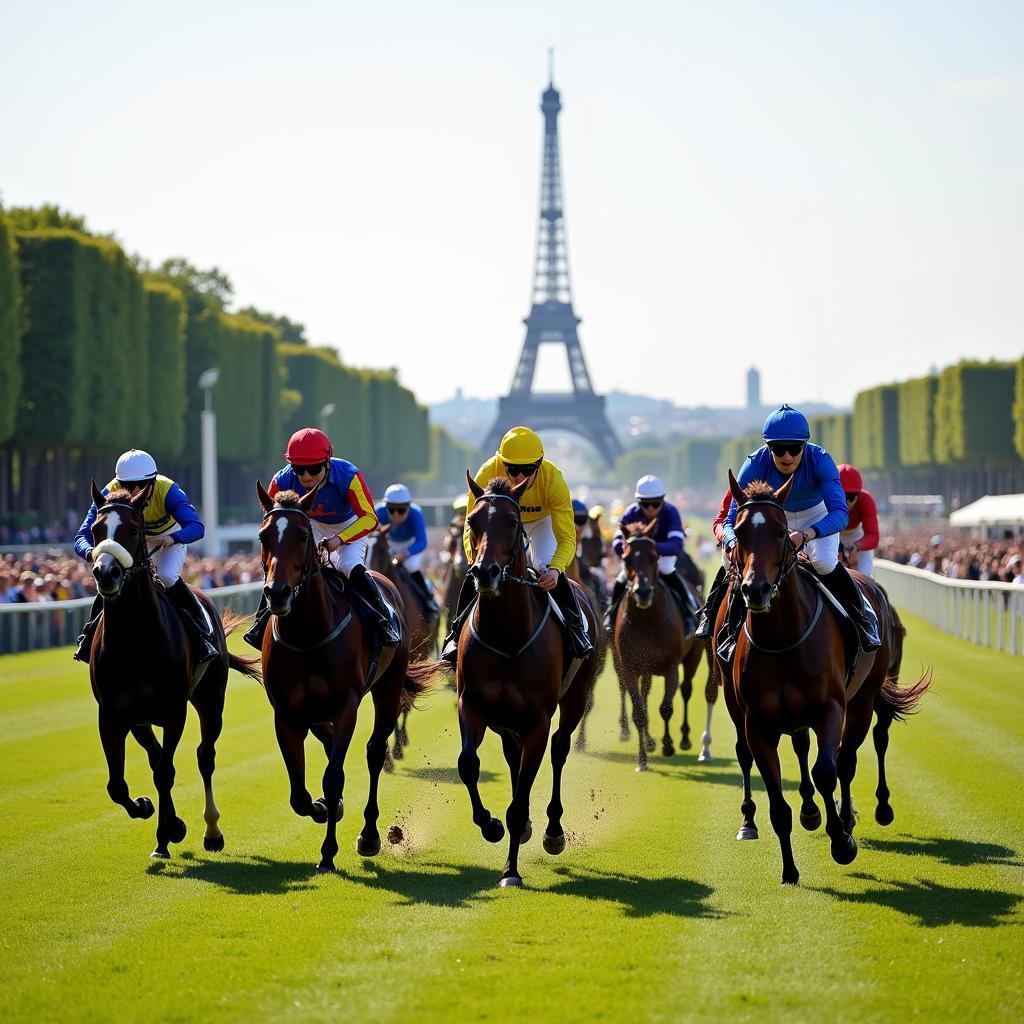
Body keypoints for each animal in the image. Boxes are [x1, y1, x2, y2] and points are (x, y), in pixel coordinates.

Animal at [84, 479, 260, 856]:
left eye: (132, 529)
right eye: (96, 529)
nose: (106, 573)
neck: (134, 640)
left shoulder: (173, 710)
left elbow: (167, 771)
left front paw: (171, 830)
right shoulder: (113, 714)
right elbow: (118, 785)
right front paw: (149, 811)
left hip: (211, 700)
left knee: (205, 756)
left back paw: (211, 832)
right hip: (140, 719)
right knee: (155, 759)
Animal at [256, 479, 440, 872]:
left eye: (302, 537)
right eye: (264, 536)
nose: (277, 593)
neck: (307, 636)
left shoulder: (346, 705)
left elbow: (334, 776)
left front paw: (328, 852)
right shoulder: (286, 713)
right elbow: (298, 793)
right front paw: (325, 809)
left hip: (388, 684)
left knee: (374, 750)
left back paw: (370, 834)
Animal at [456, 475, 598, 884]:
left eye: (512, 522)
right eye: (472, 521)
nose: (484, 573)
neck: (507, 634)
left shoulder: (537, 720)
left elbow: (520, 799)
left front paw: (511, 871)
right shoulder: (472, 705)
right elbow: (468, 764)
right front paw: (490, 825)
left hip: (575, 697)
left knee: (560, 748)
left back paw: (552, 830)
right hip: (506, 722)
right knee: (512, 757)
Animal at [610, 520, 708, 770]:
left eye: (654, 556)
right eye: (626, 558)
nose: (643, 592)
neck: (646, 619)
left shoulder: (671, 667)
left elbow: (666, 707)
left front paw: (668, 745)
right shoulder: (630, 668)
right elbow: (639, 712)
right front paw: (642, 760)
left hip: (693, 657)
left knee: (686, 690)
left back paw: (683, 738)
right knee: (644, 696)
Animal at [716, 473, 933, 888]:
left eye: (781, 531)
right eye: (739, 531)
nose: (755, 589)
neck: (782, 640)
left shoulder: (830, 708)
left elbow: (827, 771)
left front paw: (842, 842)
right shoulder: (758, 723)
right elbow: (777, 800)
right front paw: (789, 869)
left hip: (865, 696)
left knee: (855, 753)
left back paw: (864, 813)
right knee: (769, 752)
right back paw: (772, 819)